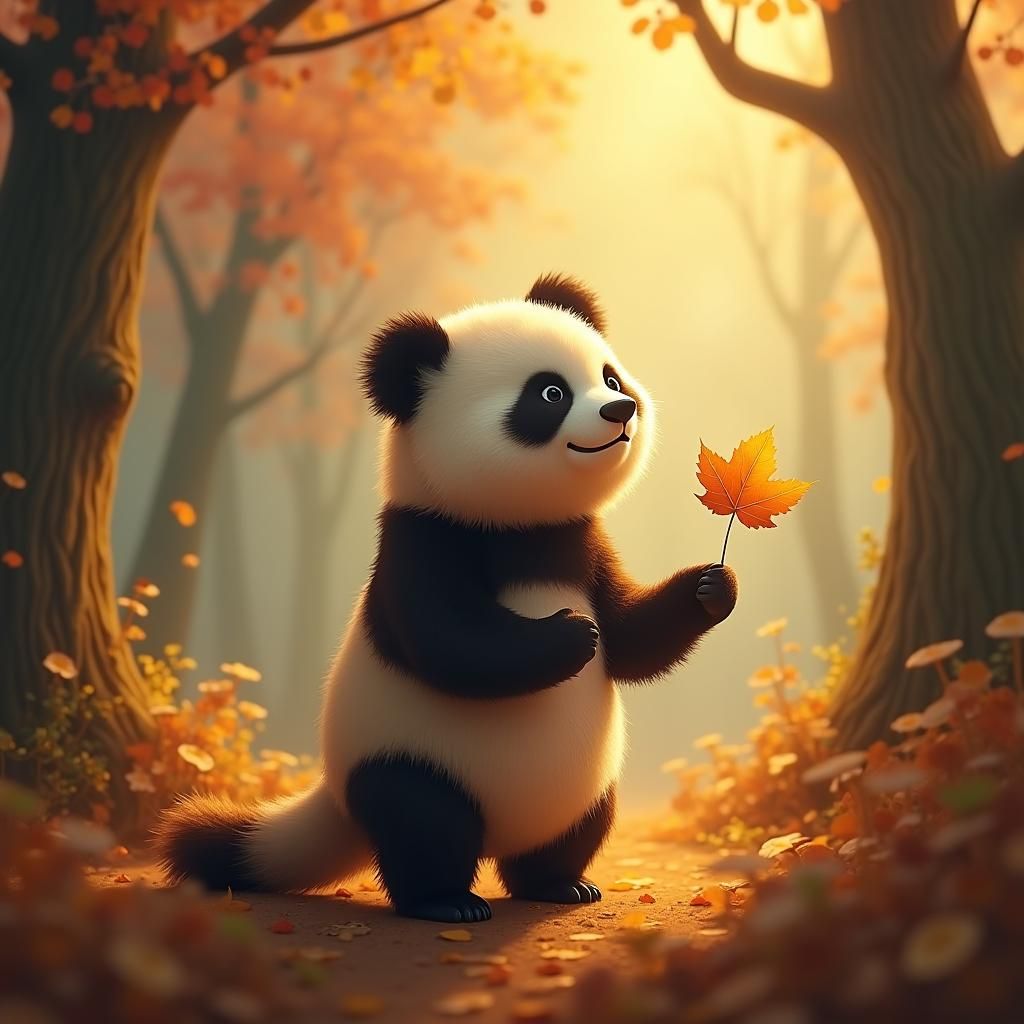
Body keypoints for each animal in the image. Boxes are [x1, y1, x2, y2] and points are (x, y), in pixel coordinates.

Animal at [157, 273, 737, 923]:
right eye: (550, 394)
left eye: (610, 377)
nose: (620, 409)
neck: (521, 526)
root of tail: (337, 803)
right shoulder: (423, 538)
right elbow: (450, 643)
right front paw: (569, 634)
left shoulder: (581, 542)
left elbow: (630, 637)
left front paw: (710, 588)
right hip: (407, 756)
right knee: (424, 818)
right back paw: (446, 900)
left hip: (588, 780)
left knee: (579, 825)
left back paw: (558, 883)